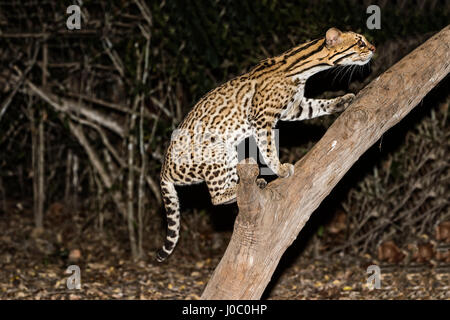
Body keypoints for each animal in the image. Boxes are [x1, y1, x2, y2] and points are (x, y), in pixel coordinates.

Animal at [156, 27, 374, 262]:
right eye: (360, 43)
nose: (373, 48)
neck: (301, 70)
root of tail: (164, 170)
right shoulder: (262, 119)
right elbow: (268, 147)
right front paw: (279, 168)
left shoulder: (295, 108)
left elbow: (318, 105)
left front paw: (341, 101)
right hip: (219, 150)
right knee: (215, 197)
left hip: (229, 156)